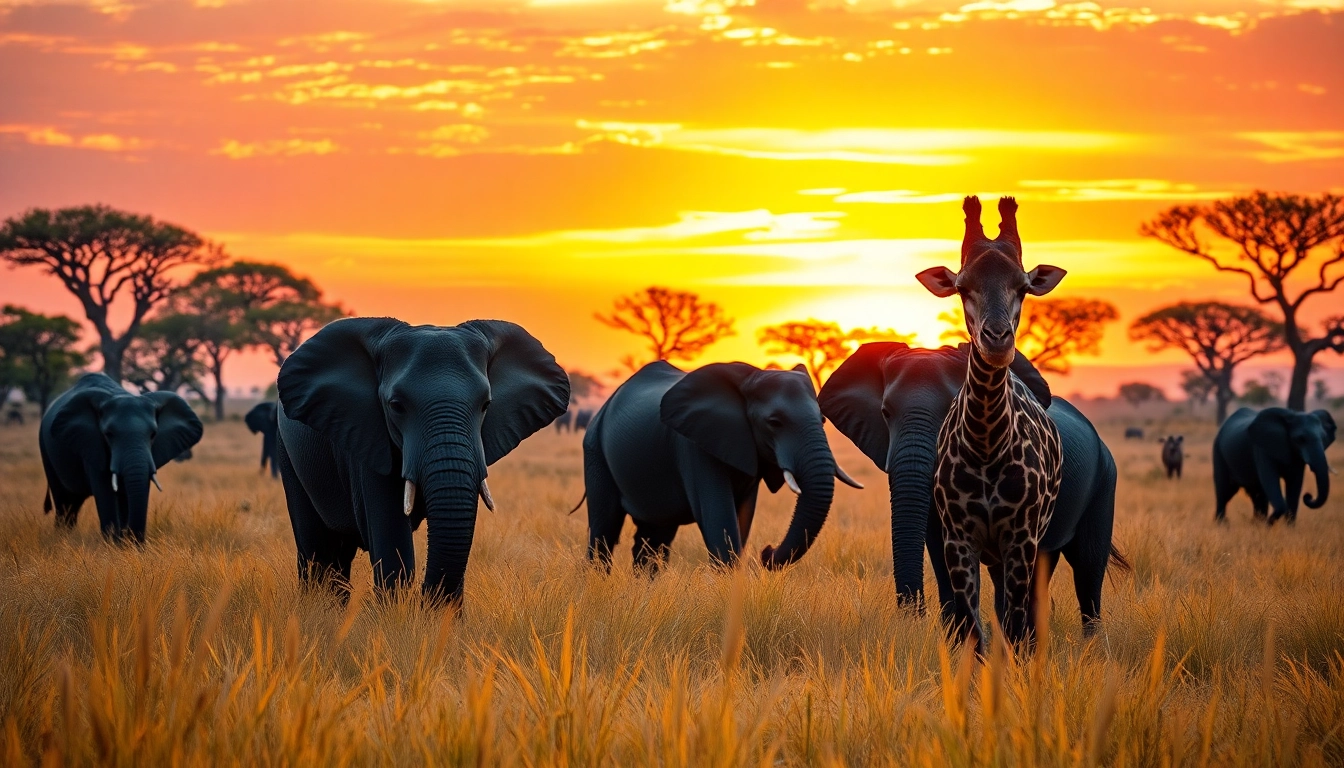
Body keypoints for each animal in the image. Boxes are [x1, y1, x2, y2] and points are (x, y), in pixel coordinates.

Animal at [39, 373, 203, 542]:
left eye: (153, 434)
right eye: (108, 434)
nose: (136, 542)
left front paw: (124, 544)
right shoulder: (91, 444)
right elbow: (105, 492)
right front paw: (113, 543)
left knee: (74, 503)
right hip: (45, 448)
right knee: (64, 502)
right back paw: (62, 537)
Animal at [275, 317, 569, 605]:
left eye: (486, 405)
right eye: (396, 406)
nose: (426, 597)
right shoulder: (366, 435)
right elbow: (393, 544)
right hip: (288, 454)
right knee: (316, 550)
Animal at [581, 360, 862, 573]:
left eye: (823, 420)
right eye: (774, 422)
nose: (766, 551)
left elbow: (743, 519)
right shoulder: (694, 445)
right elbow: (720, 521)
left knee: (654, 538)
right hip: (595, 449)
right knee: (604, 530)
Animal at [819, 342, 1127, 634]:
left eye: (952, 408)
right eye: (885, 413)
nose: (914, 617)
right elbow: (939, 548)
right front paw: (956, 641)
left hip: (1104, 480)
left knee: (1087, 568)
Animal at [915, 195, 1067, 653]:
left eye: (1023, 286)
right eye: (962, 287)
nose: (997, 341)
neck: (986, 442)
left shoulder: (1021, 537)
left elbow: (1014, 626)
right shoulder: (958, 538)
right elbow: (973, 631)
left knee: (1024, 617)